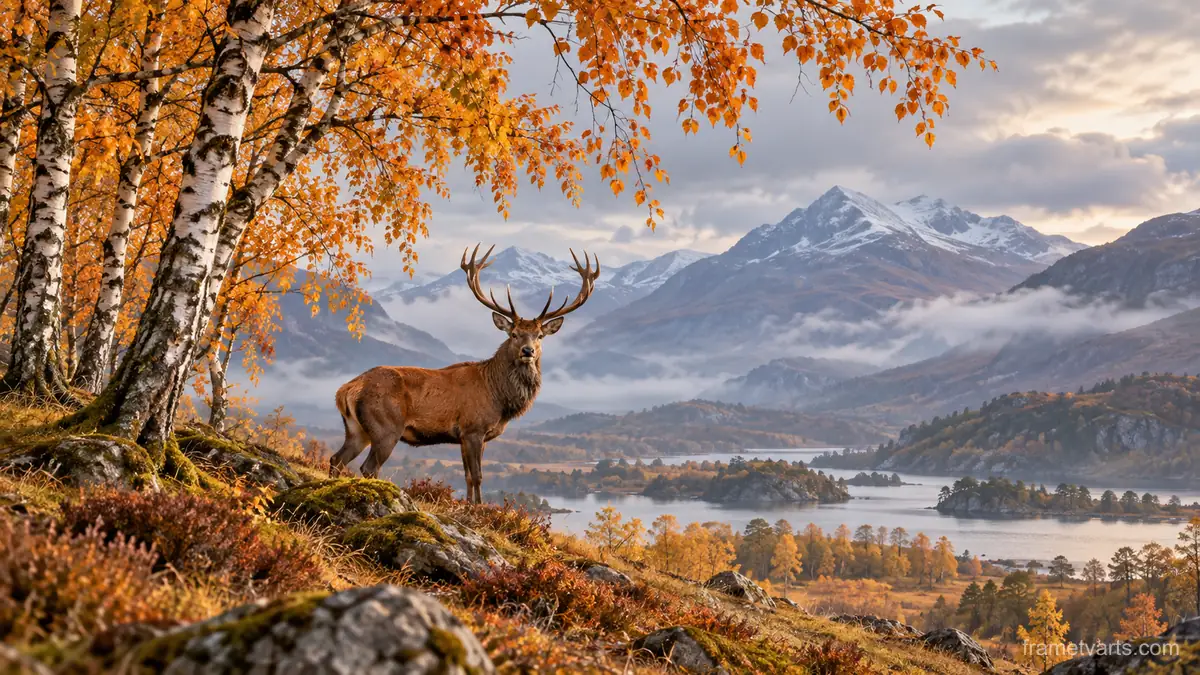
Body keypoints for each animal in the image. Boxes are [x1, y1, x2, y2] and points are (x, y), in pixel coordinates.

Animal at [329, 244, 600, 503]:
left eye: (540, 335)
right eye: (514, 334)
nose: (528, 351)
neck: (499, 398)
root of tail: (346, 390)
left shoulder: (466, 437)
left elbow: (468, 476)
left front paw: (468, 506)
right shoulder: (473, 429)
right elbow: (478, 475)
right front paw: (479, 507)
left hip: (356, 429)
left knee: (336, 459)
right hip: (386, 427)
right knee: (368, 467)